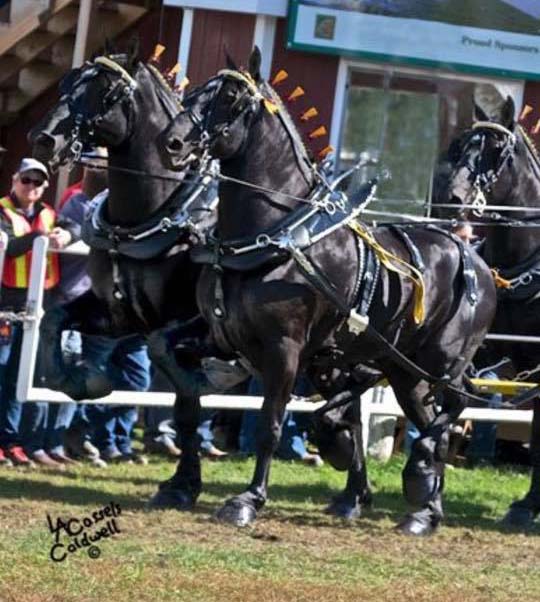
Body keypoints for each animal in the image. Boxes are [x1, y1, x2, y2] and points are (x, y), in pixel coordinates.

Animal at [28, 42, 216, 408]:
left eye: (106, 90)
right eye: (67, 82)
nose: (42, 139)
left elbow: (166, 351)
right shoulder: (117, 316)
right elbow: (52, 320)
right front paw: (85, 380)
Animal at [153, 48, 498, 536]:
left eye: (232, 97)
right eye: (198, 90)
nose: (172, 143)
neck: (275, 235)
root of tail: (479, 263)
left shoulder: (285, 349)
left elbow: (270, 425)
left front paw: (247, 500)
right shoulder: (220, 333)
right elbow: (167, 359)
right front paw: (184, 475)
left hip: (440, 361)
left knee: (453, 408)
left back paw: (417, 473)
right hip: (404, 372)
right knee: (435, 421)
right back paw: (424, 510)